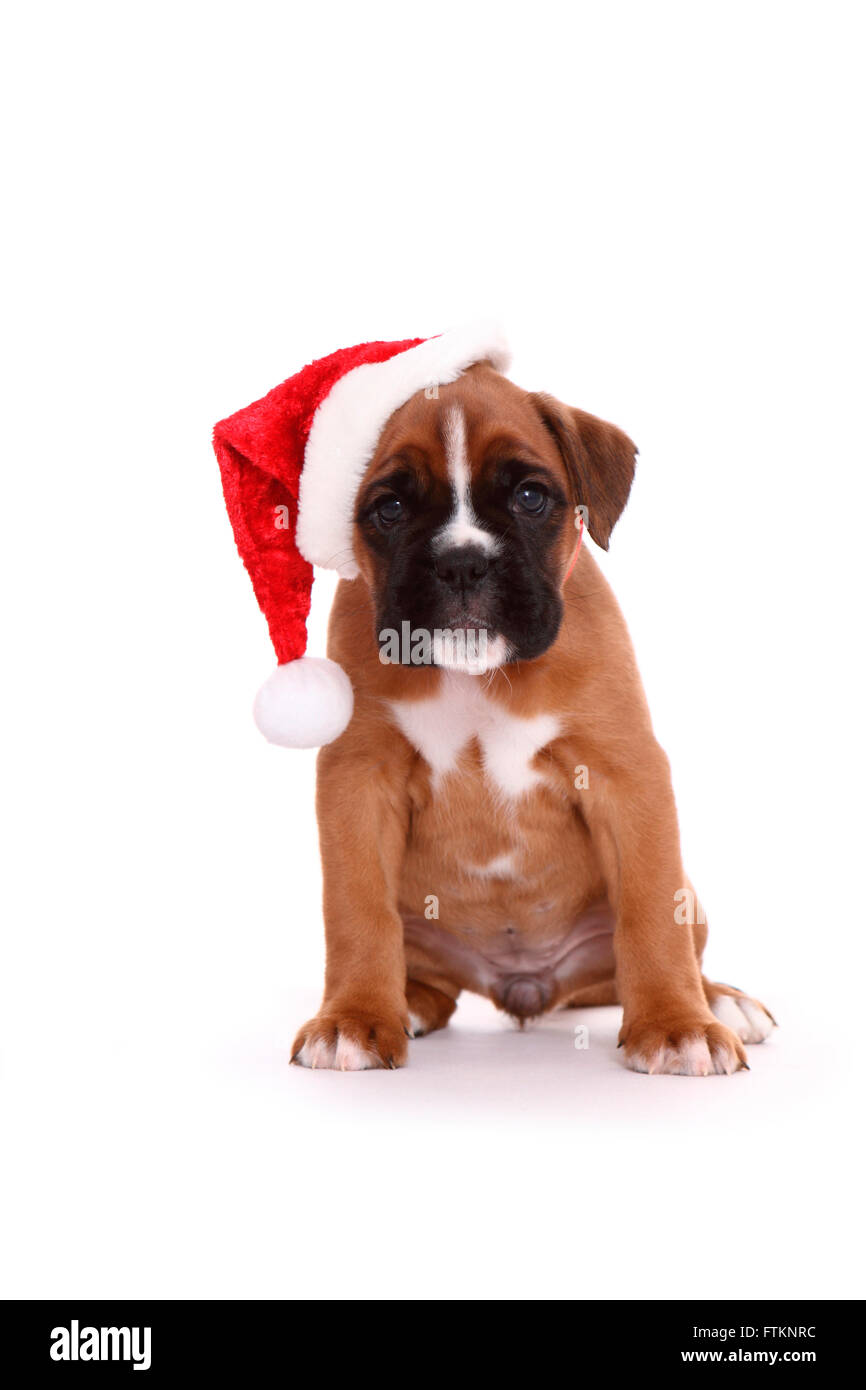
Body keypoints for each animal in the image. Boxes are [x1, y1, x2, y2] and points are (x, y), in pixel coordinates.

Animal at [291, 361, 772, 1073]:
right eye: (391, 508)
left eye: (529, 496)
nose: (462, 561)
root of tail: (526, 985)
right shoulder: (358, 777)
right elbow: (357, 910)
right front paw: (353, 1018)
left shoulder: (626, 773)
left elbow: (650, 912)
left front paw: (677, 1025)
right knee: (427, 974)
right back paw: (408, 1003)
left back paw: (719, 1000)